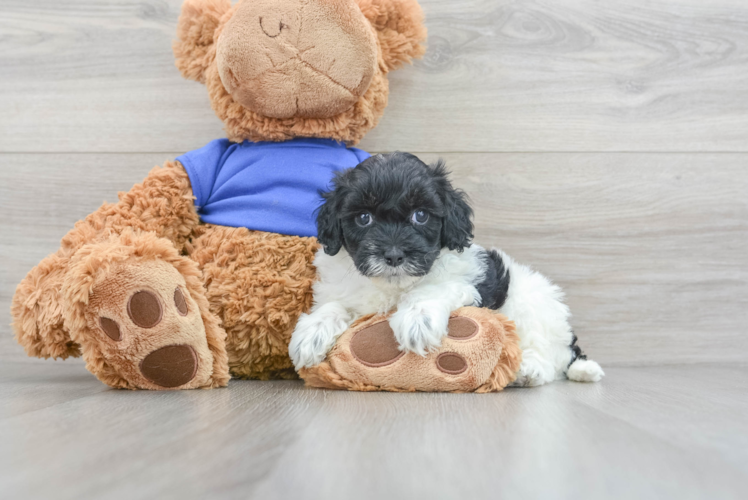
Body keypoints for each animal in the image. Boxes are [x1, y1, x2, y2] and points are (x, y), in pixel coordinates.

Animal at [290, 152, 604, 386]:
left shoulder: (466, 281)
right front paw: (312, 332)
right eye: (364, 218)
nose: (393, 254)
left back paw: (531, 370)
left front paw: (417, 319)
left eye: (420, 215)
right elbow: (334, 305)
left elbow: (431, 289)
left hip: (533, 307)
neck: (394, 287)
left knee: (552, 354)